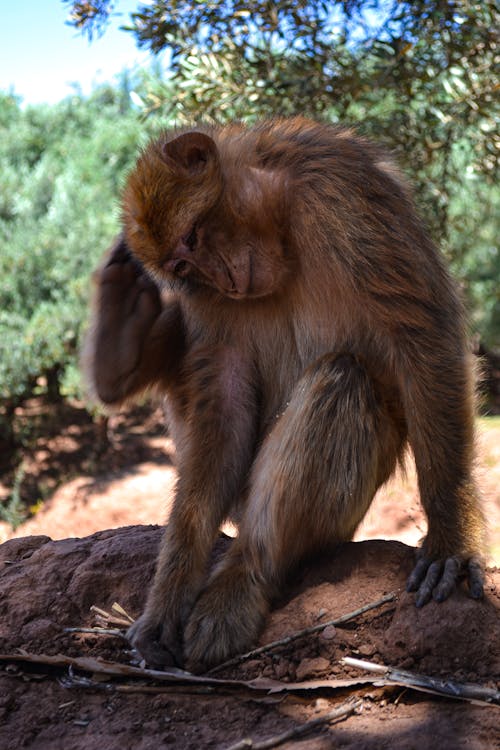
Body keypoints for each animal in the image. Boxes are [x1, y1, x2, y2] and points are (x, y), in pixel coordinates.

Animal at [85, 119, 484, 676]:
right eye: (183, 267)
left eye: (194, 236)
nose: (225, 280)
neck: (279, 213)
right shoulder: (204, 300)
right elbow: (225, 397)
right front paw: (167, 600)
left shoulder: (345, 195)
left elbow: (422, 338)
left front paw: (451, 536)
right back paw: (119, 339)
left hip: (341, 518)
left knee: (343, 378)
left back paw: (249, 571)